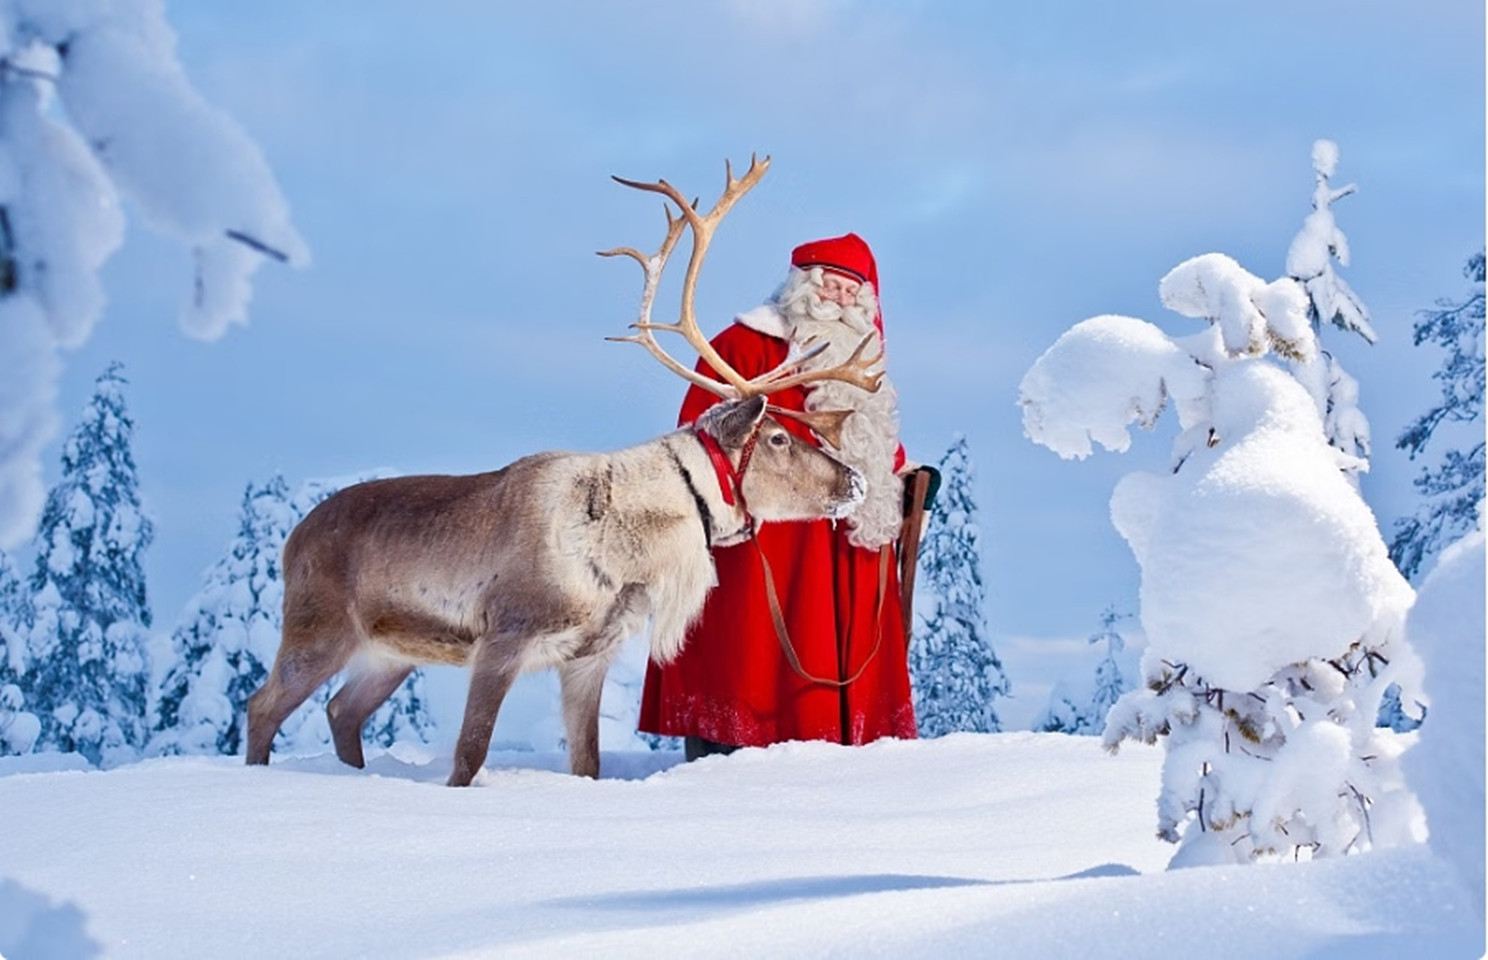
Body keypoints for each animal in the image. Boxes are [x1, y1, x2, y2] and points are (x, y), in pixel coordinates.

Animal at [244, 155, 890, 786]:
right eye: (778, 437)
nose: (854, 481)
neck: (625, 542)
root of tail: (292, 538)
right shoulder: (504, 637)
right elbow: (469, 755)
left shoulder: (589, 655)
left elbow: (587, 762)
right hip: (319, 628)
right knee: (263, 705)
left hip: (390, 654)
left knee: (340, 709)